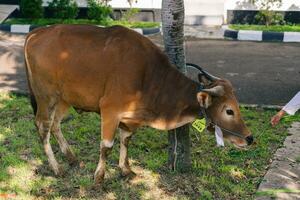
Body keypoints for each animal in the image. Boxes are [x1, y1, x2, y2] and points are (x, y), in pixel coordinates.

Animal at [24, 25, 252, 184]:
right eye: (229, 110)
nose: (249, 138)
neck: (149, 77)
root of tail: (36, 33)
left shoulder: (130, 117)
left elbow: (126, 140)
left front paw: (125, 169)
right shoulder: (110, 110)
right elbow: (107, 146)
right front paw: (99, 176)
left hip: (64, 99)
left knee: (55, 125)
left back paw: (71, 158)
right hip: (46, 97)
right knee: (43, 127)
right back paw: (57, 168)